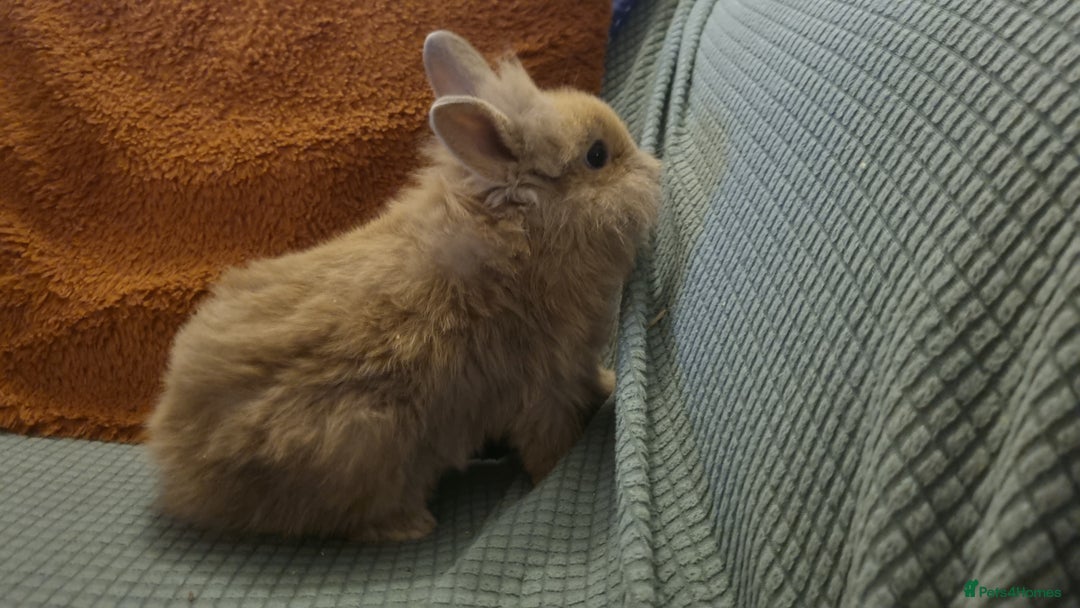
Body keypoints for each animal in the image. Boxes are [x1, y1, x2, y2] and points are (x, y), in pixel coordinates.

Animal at [145, 30, 661, 542]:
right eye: (597, 156)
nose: (654, 169)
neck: (527, 234)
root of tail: (179, 460)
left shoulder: (573, 365)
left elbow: (591, 382)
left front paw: (610, 383)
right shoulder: (544, 382)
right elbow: (548, 441)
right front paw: (553, 472)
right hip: (360, 441)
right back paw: (413, 526)